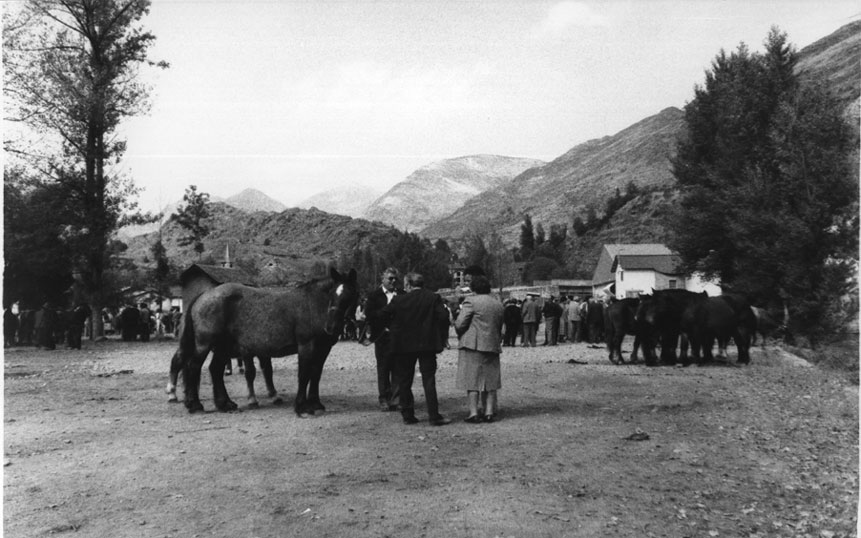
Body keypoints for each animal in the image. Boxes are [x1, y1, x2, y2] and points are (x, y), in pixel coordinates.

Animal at [170, 266, 358, 414]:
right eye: (332, 294)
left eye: (349, 296)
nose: (331, 327)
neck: (314, 305)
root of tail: (204, 295)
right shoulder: (307, 346)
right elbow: (304, 374)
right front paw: (301, 406)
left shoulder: (323, 348)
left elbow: (316, 374)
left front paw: (316, 403)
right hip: (205, 344)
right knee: (193, 367)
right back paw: (195, 405)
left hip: (223, 347)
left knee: (215, 369)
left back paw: (225, 404)